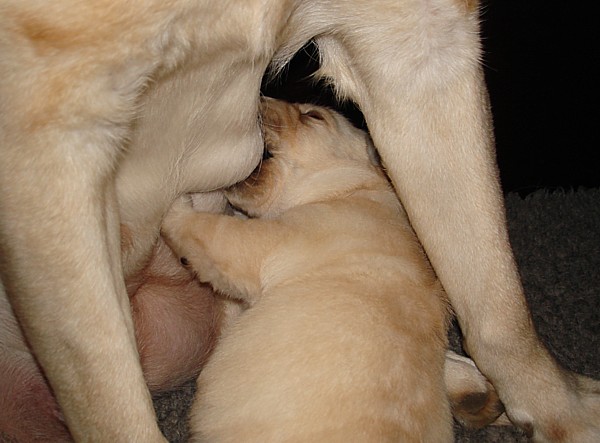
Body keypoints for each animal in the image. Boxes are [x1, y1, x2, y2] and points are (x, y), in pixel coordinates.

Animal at [163, 99, 460, 442]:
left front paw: (174, 203)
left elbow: (206, 228)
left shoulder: (266, 242)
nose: (260, 97)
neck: (351, 187)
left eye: (313, 116)